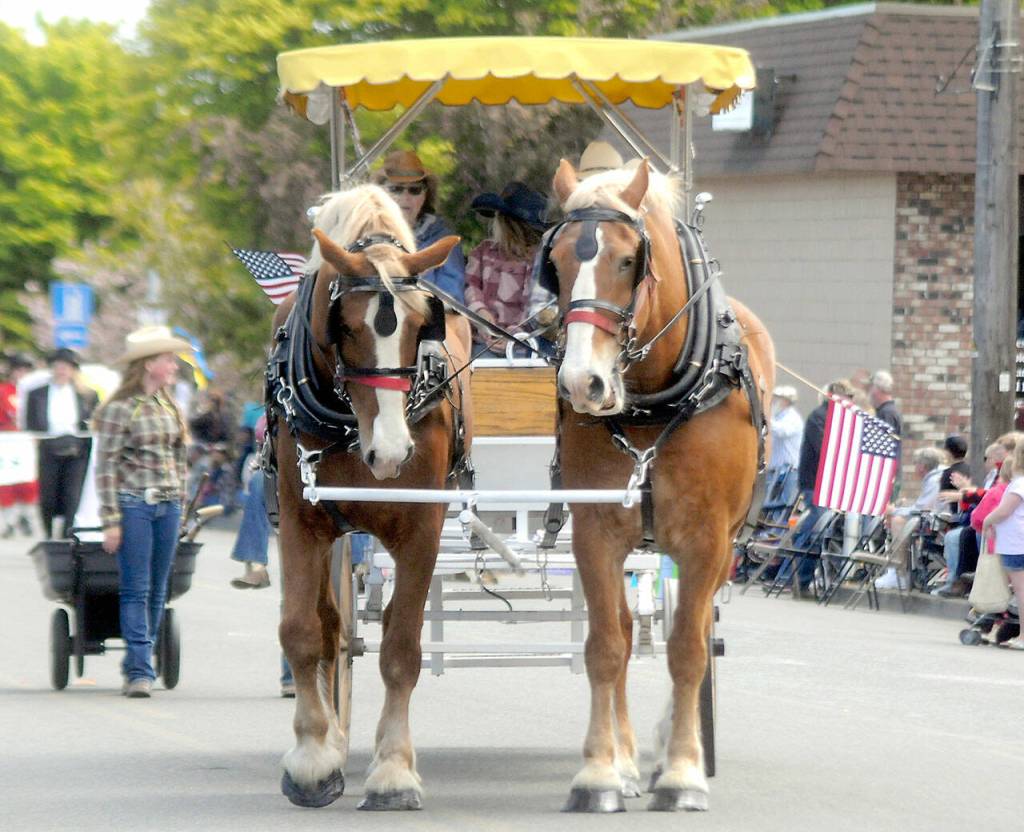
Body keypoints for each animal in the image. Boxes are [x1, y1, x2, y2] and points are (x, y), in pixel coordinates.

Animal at [266, 184, 473, 810]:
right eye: (347, 327)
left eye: (421, 325)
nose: (390, 451)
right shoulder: (301, 521)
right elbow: (302, 633)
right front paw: (313, 757)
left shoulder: (421, 527)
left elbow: (401, 649)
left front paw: (394, 770)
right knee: (330, 629)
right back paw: (332, 738)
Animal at [544, 160, 775, 812]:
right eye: (558, 262)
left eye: (628, 260)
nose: (583, 382)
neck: (653, 400)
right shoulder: (595, 533)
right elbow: (606, 646)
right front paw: (600, 773)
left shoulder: (705, 541)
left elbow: (688, 650)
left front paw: (682, 773)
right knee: (624, 634)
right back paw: (625, 762)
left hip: (722, 548)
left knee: (688, 634)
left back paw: (673, 745)